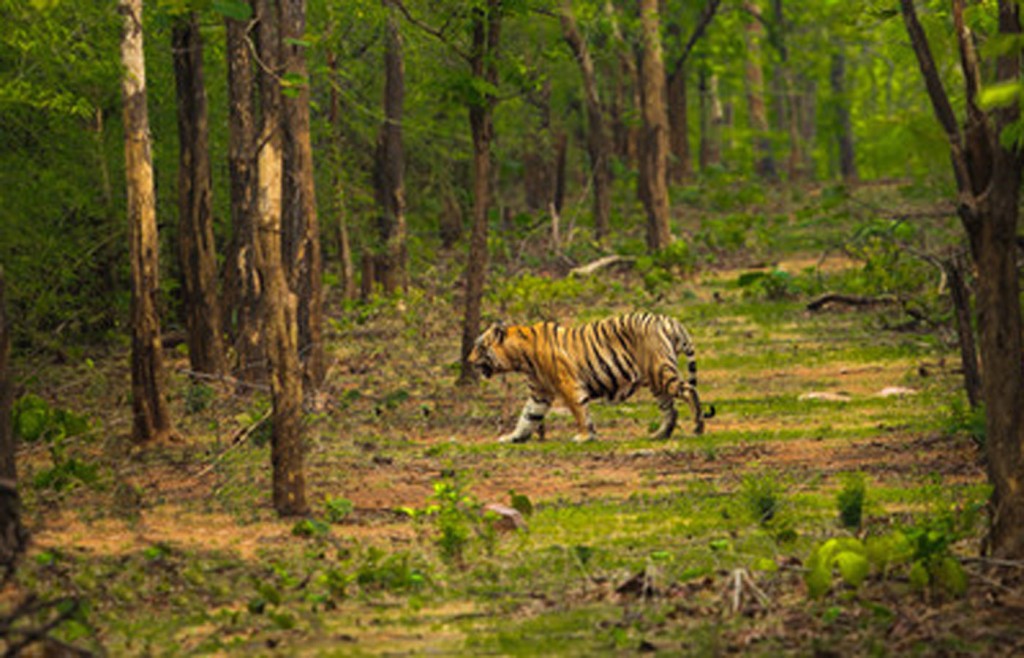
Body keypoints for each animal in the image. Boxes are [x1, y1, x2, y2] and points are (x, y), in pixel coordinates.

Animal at [468, 313, 716, 446]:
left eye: (480, 346)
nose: (469, 360)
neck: (521, 358)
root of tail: (668, 320)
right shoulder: (540, 393)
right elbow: (528, 417)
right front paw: (513, 437)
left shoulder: (569, 385)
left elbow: (579, 412)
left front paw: (584, 436)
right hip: (655, 380)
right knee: (669, 409)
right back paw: (660, 434)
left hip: (660, 371)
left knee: (688, 391)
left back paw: (698, 427)